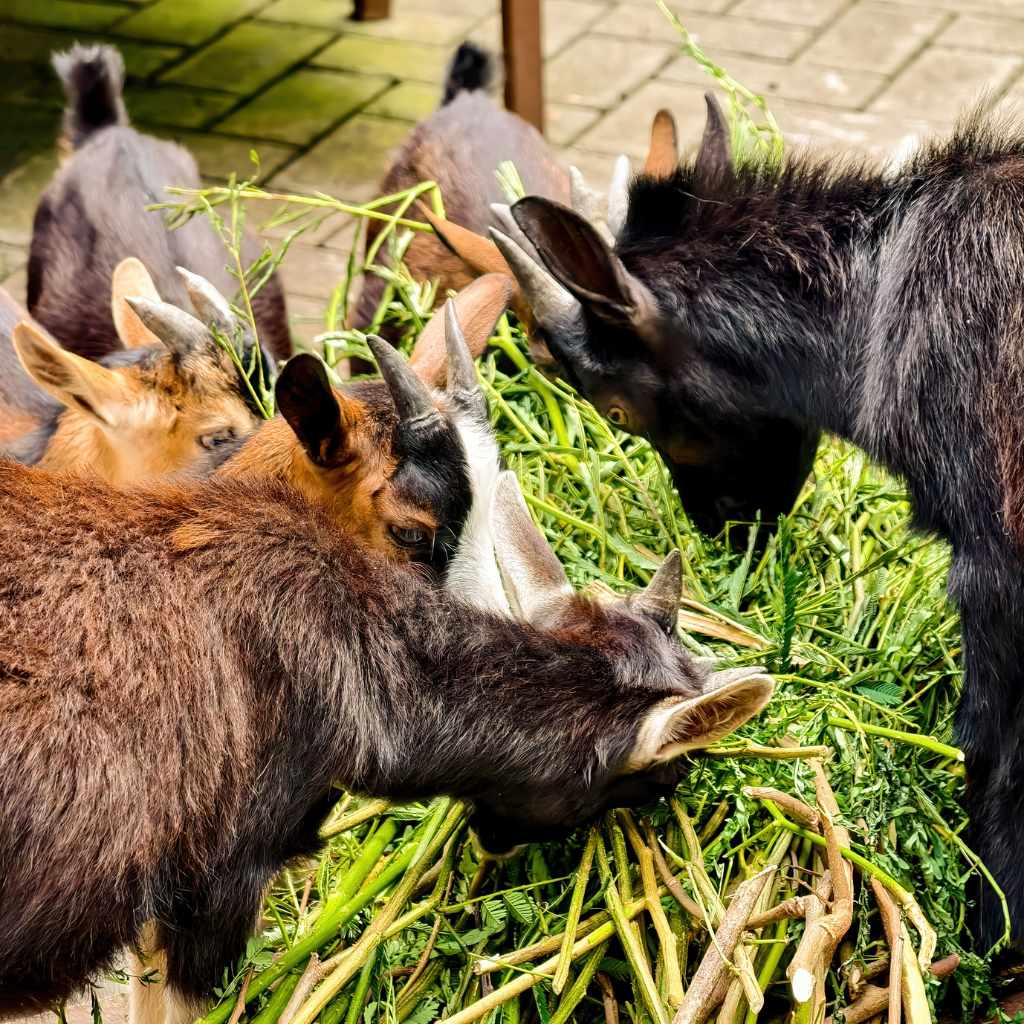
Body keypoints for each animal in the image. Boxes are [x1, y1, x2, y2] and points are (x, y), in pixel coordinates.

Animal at [496, 98, 1024, 948]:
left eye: (618, 408)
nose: (720, 530)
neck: (873, 304)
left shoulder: (992, 566)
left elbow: (987, 753)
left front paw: (991, 925)